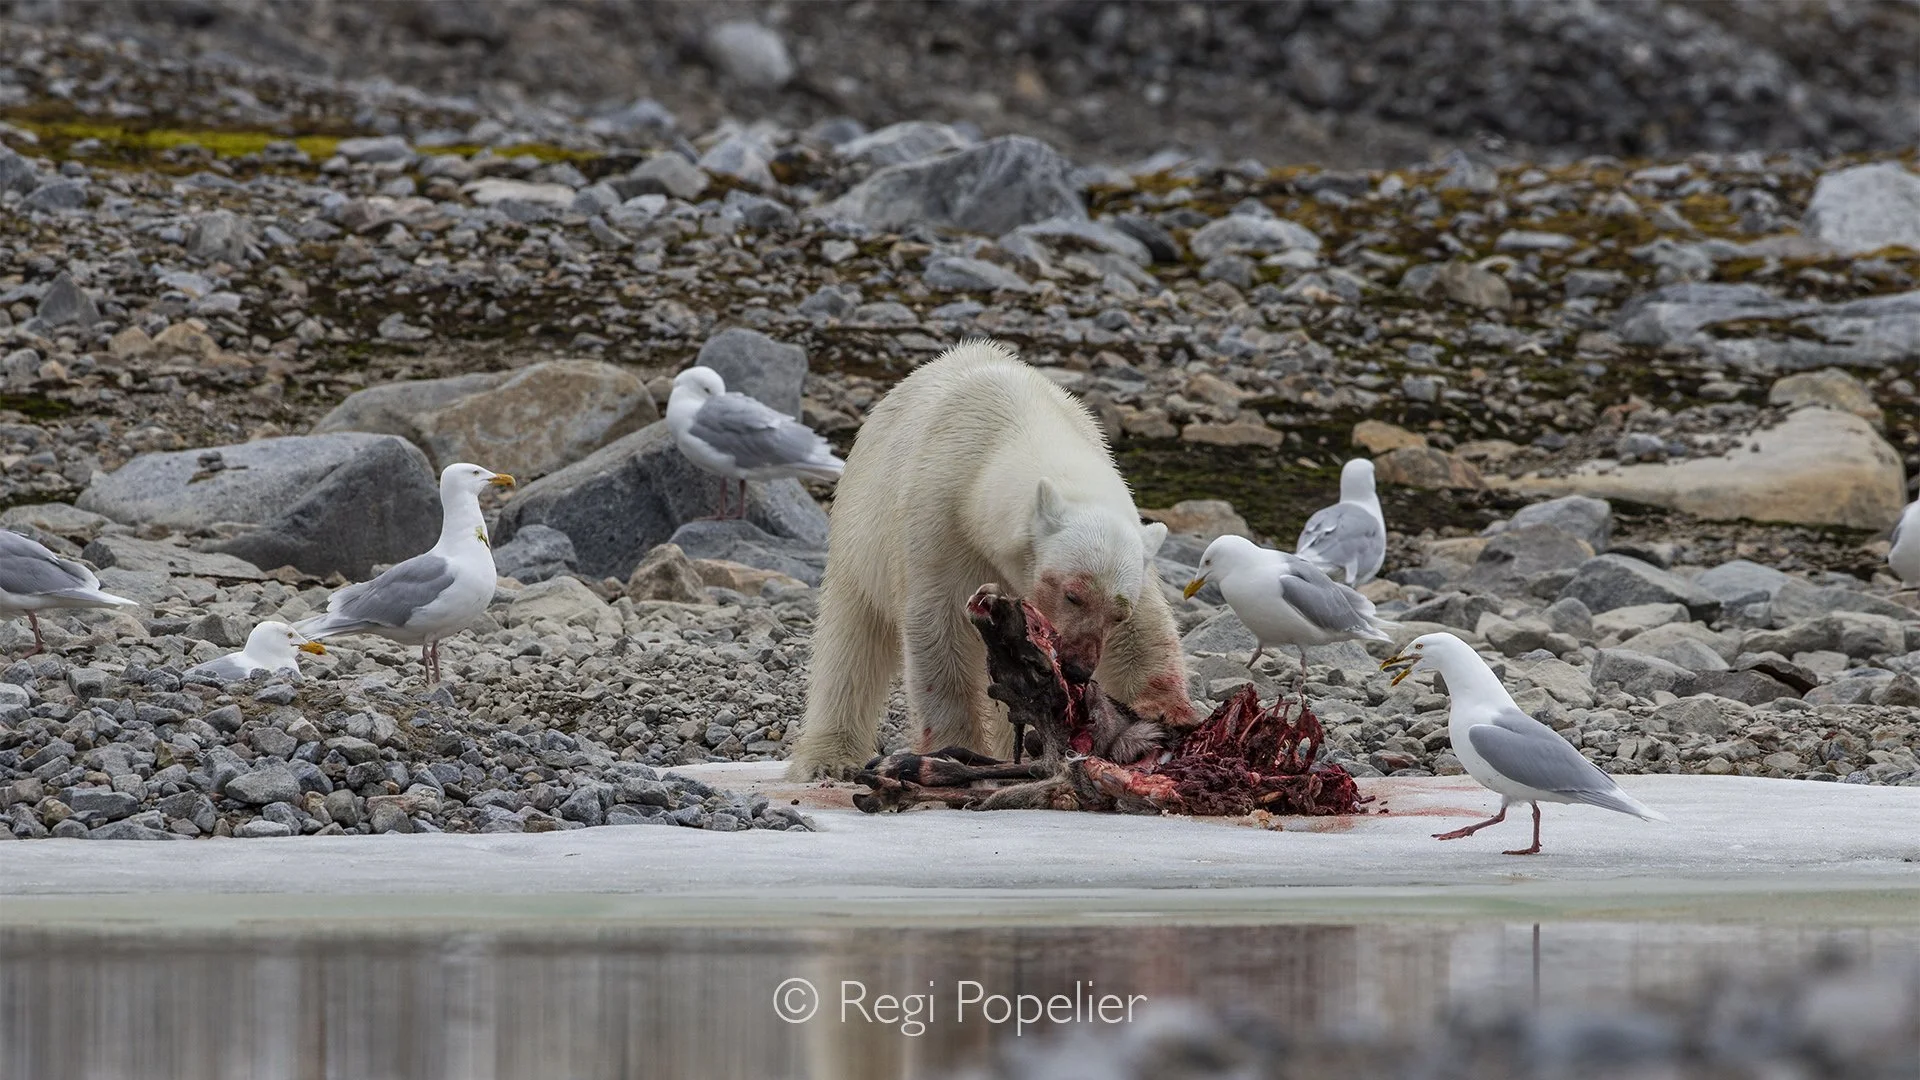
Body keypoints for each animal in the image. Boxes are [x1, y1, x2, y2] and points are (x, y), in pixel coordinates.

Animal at [786, 338, 1194, 780]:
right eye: (1072, 595)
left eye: (1117, 613)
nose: (1079, 668)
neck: (1014, 425)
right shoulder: (940, 518)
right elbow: (937, 626)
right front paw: (954, 746)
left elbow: (1143, 631)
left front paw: (1167, 714)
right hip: (859, 534)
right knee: (851, 642)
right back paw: (829, 759)